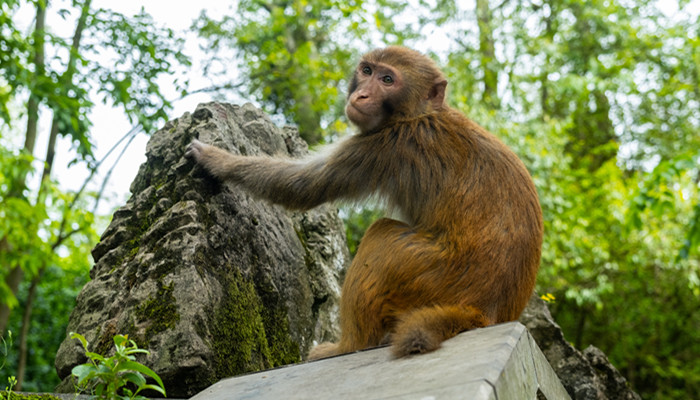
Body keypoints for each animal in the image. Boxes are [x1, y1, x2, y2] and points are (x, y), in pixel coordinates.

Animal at [185, 45, 540, 358]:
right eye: (367, 71)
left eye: (388, 79)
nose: (362, 95)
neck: (418, 114)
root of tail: (482, 310)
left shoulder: (384, 145)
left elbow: (303, 185)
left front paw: (217, 161)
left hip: (431, 273)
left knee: (381, 237)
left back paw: (350, 345)